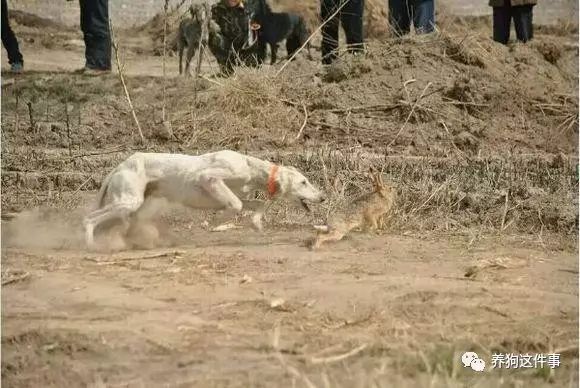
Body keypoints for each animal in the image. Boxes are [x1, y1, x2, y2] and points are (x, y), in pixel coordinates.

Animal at [82, 150, 326, 250]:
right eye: (304, 182)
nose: (323, 197)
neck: (250, 167)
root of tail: (121, 165)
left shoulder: (241, 195)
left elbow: (257, 204)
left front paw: (256, 224)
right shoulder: (209, 178)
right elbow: (235, 205)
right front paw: (216, 222)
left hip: (135, 204)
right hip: (128, 201)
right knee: (89, 219)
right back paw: (92, 244)